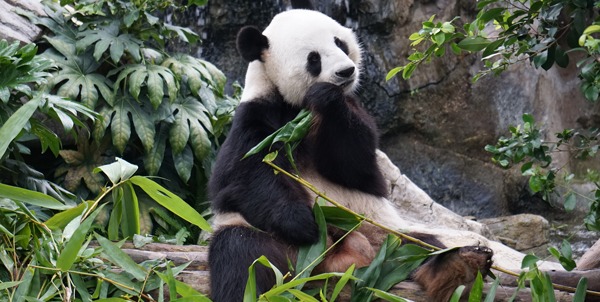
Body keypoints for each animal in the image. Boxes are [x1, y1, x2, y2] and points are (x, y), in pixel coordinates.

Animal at [207, 1, 492, 300]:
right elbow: (244, 176)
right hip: (266, 239)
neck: (298, 107)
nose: (346, 71)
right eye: (313, 58)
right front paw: (304, 222)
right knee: (242, 258)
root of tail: (337, 260)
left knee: (423, 247)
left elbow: (356, 167)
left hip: (385, 233)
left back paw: (461, 265)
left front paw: (327, 97)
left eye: (340, 43)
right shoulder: (256, 118)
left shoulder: (351, 114)